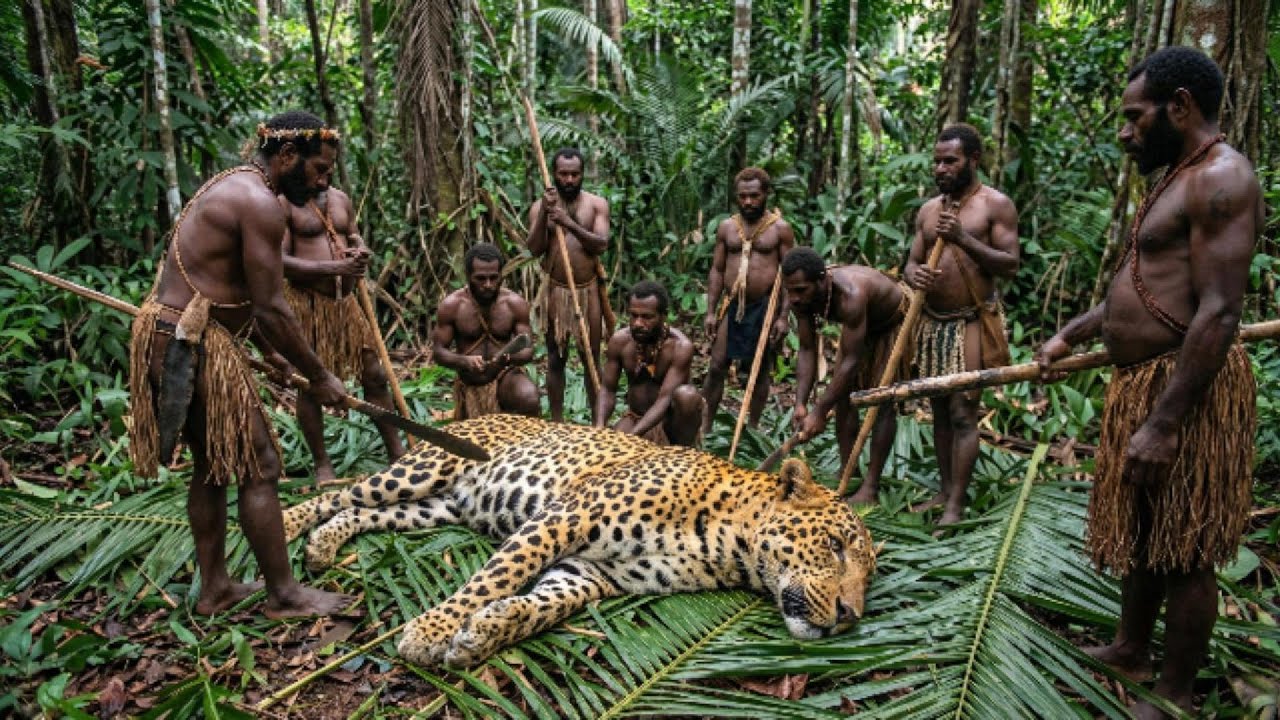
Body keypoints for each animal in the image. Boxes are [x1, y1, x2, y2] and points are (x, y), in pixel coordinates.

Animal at [282, 414, 876, 668]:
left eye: (869, 576)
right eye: (835, 545)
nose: (849, 615)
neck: (727, 544)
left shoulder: (590, 574)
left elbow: (536, 606)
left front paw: (482, 636)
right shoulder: (566, 516)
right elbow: (491, 578)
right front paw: (430, 632)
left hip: (435, 505)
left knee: (360, 511)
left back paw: (323, 546)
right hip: (425, 468)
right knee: (343, 492)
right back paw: (289, 525)